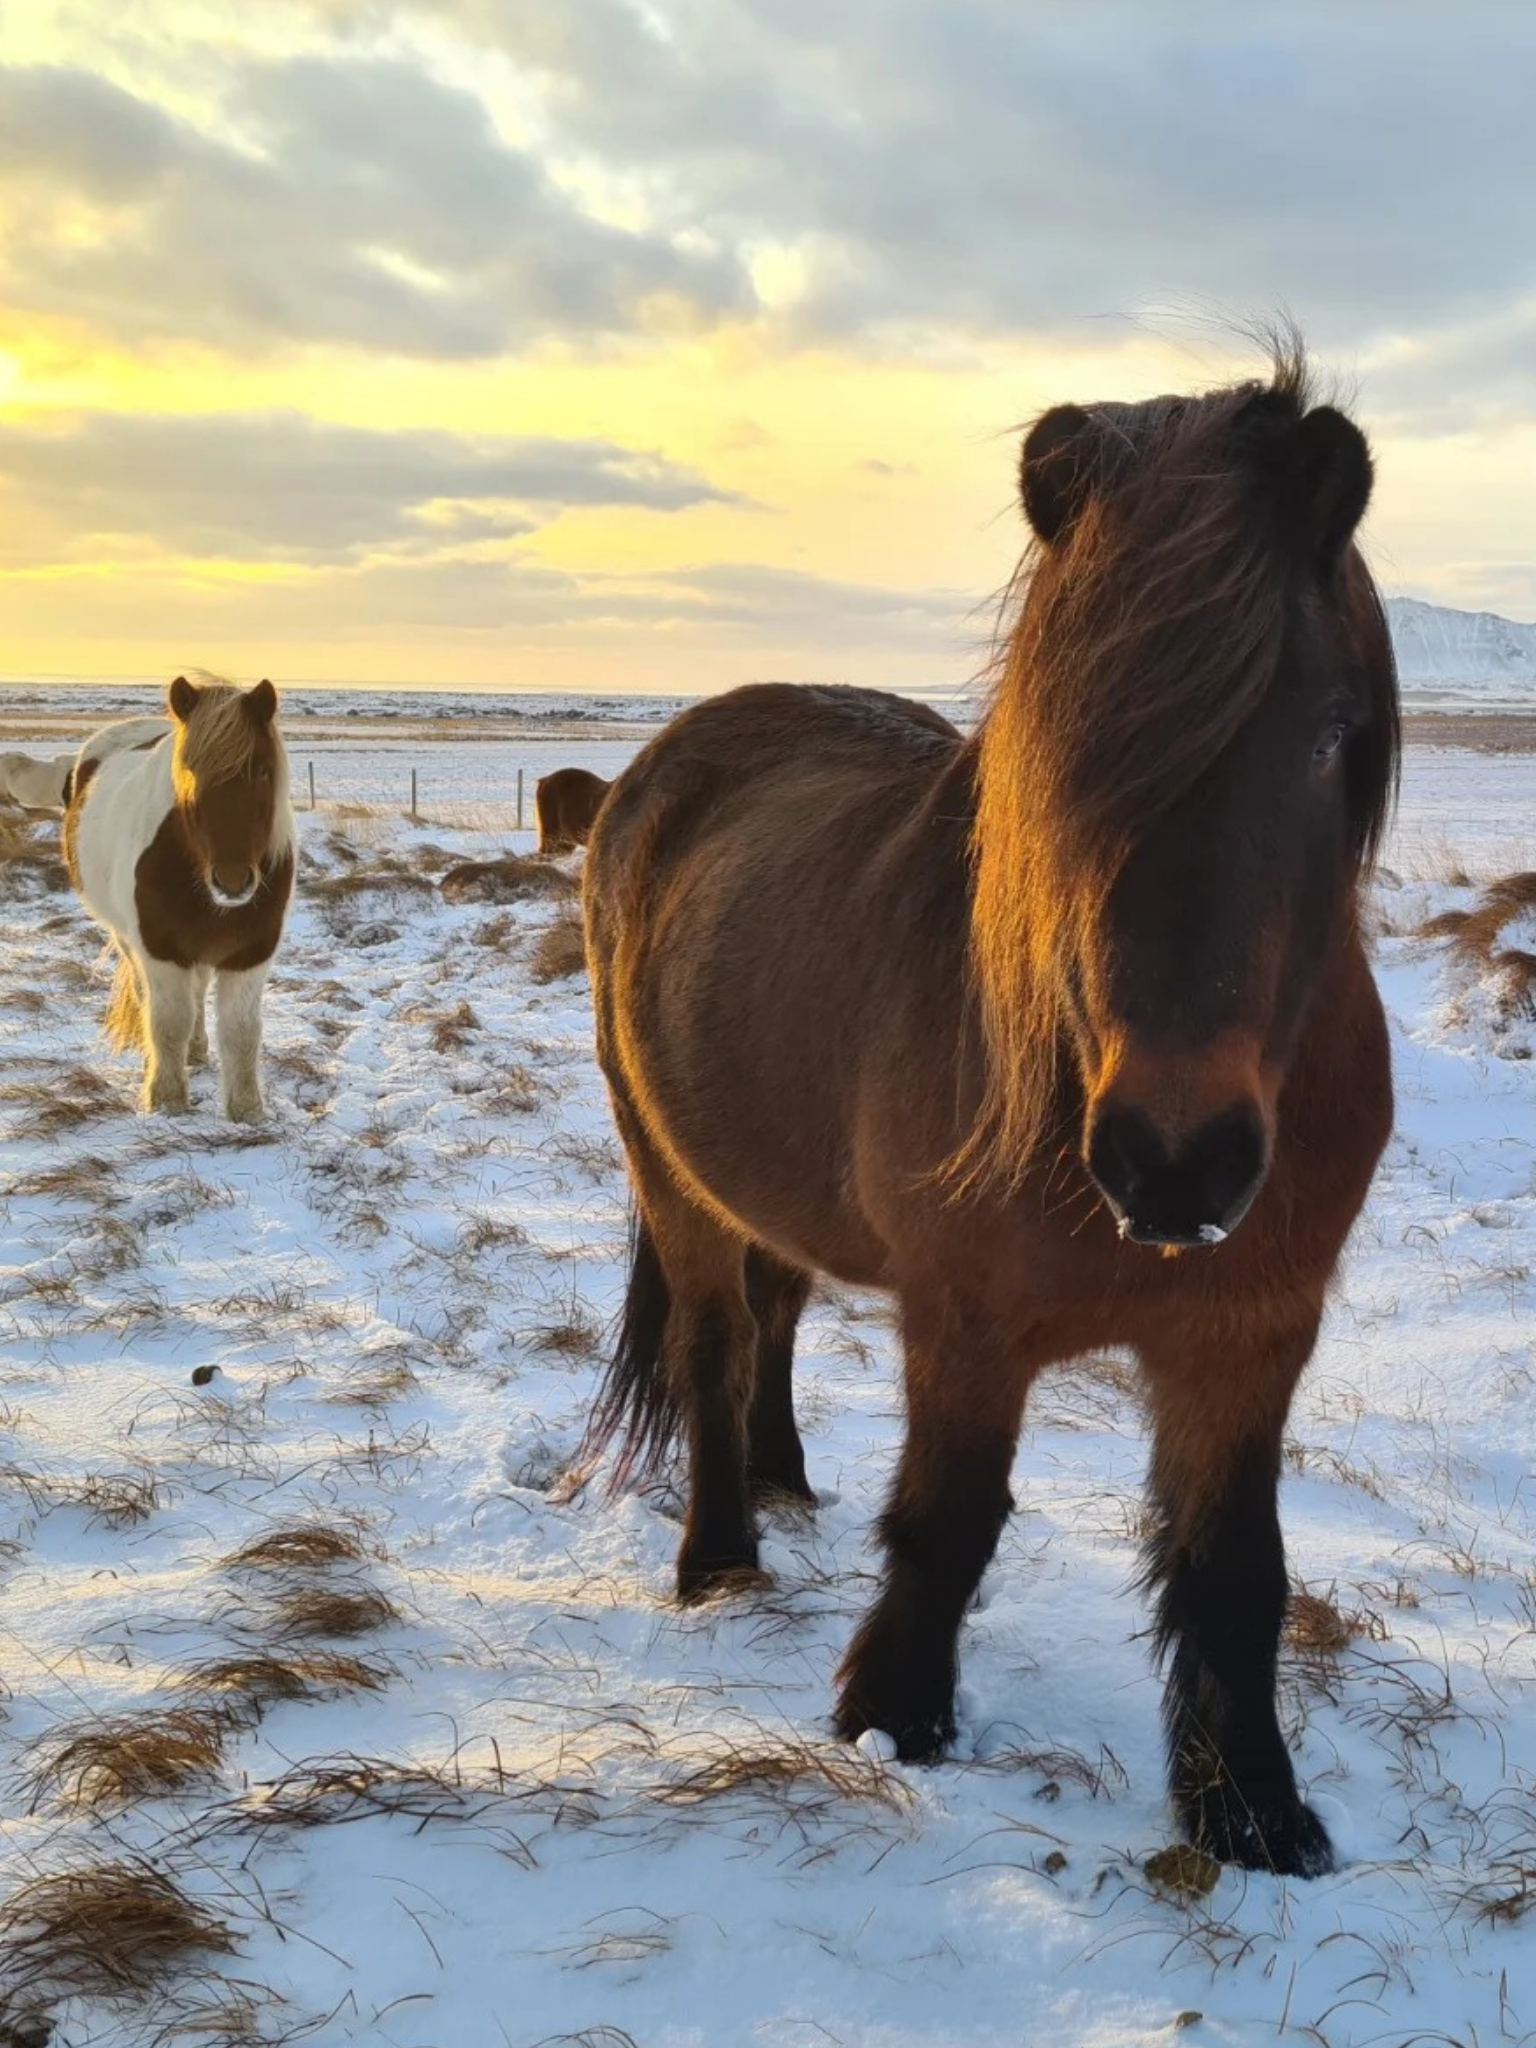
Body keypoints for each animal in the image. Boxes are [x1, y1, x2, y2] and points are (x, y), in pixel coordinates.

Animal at [63, 676, 296, 1122]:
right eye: (189, 770)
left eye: (263, 770)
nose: (233, 881)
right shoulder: (160, 948)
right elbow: (168, 1022)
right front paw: (167, 1100)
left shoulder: (252, 952)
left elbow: (241, 1032)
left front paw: (247, 1111)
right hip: (127, 939)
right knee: (149, 998)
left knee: (199, 992)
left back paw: (197, 1051)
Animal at [581, 350, 1400, 1879]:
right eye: (1064, 751)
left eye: (1328, 738)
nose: (1175, 1159)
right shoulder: (967, 1326)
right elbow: (948, 1523)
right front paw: (893, 1721)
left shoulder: (1251, 1336)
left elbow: (1234, 1569)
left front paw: (1253, 1812)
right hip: (669, 1170)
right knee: (718, 1342)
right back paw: (721, 1557)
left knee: (776, 1313)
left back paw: (784, 1482)